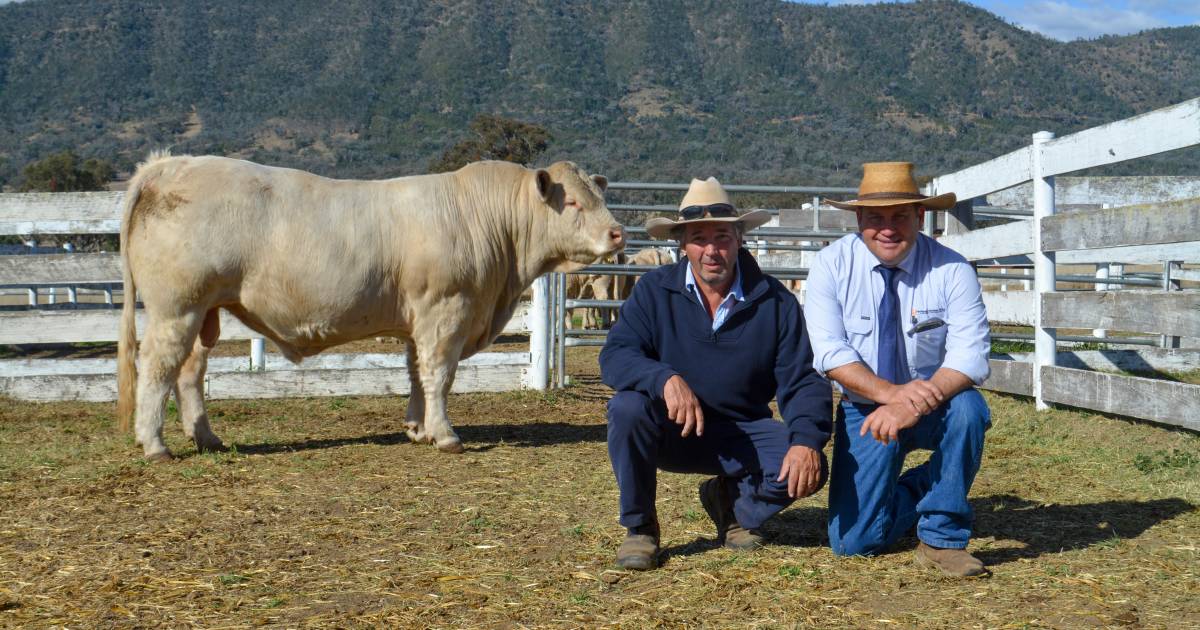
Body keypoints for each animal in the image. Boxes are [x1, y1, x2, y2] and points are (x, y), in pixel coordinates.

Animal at [115, 152, 624, 456]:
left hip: (206, 311)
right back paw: (154, 443)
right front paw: (446, 435)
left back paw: (206, 437)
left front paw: (418, 429)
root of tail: (168, 164)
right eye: (573, 202)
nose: (618, 232)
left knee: (190, 371)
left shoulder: (418, 318)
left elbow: (417, 373)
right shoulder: (447, 310)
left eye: (600, 195)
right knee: (158, 367)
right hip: (176, 306)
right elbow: (440, 374)